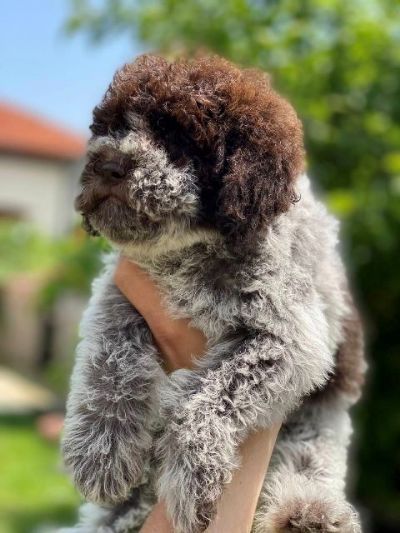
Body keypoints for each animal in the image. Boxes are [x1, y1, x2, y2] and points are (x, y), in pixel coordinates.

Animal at [61, 54, 366, 532]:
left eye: (177, 138)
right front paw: (100, 449)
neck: (188, 254)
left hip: (320, 421)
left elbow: (213, 393)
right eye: (110, 128)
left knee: (307, 458)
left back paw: (308, 513)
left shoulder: (291, 336)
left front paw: (193, 473)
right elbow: (112, 357)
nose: (109, 164)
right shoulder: (119, 290)